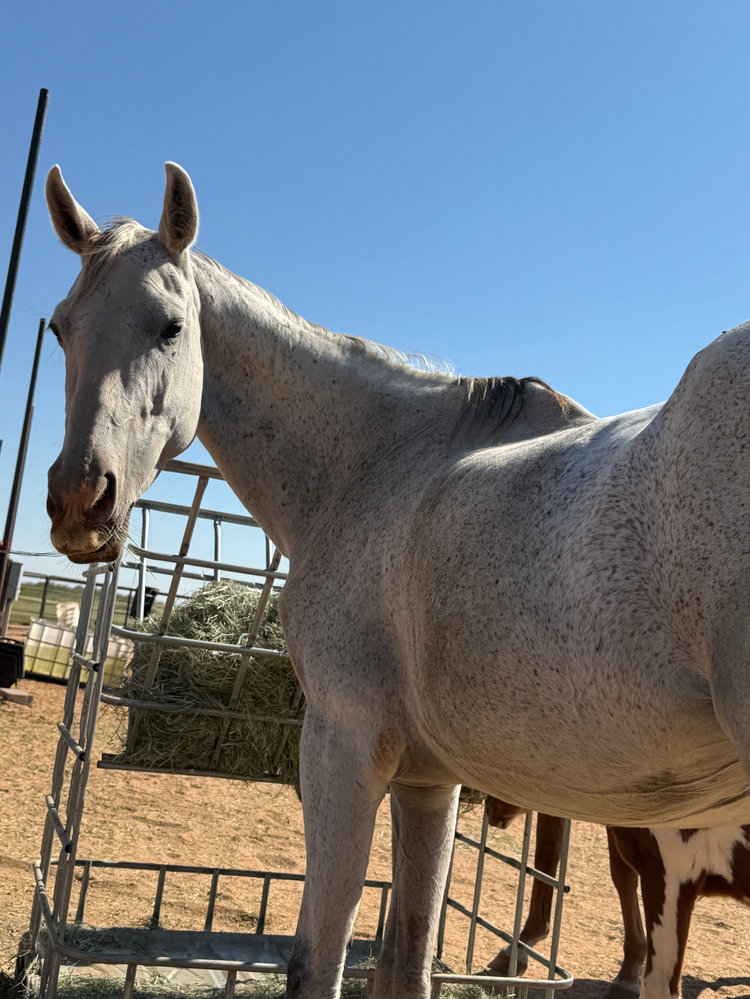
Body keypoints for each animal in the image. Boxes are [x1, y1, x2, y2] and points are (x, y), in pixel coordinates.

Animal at [483, 798, 750, 999]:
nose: (491, 811)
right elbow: (622, 877)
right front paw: (628, 974)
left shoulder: (671, 872)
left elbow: (547, 853)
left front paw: (517, 949)